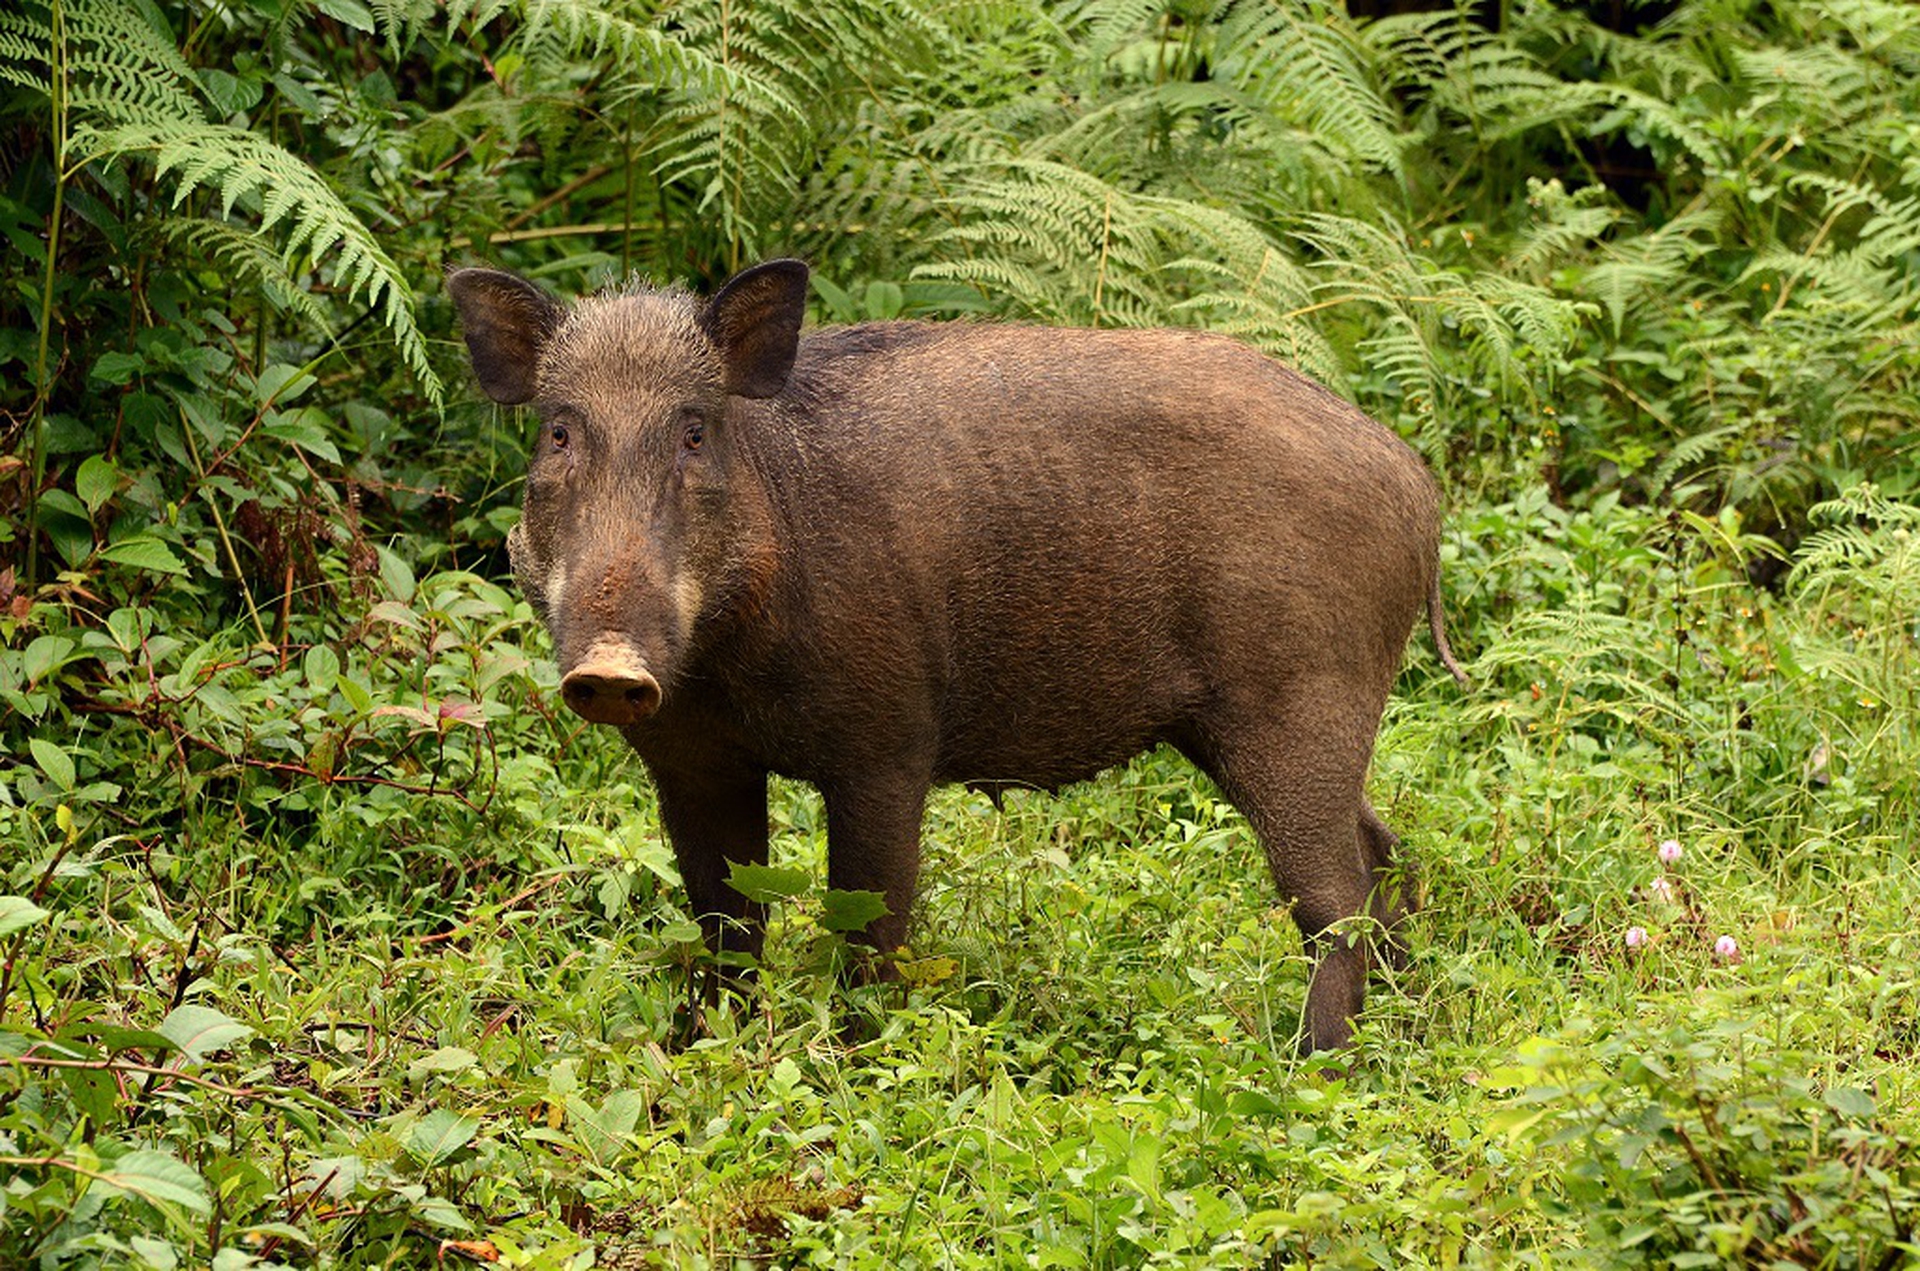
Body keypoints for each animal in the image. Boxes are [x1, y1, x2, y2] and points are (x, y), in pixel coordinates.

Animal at [447, 258, 1466, 1053]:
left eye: (695, 430)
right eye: (558, 431)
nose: (610, 667)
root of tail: (1415, 481)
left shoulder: (888, 746)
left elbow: (869, 921)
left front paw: (857, 1057)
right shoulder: (693, 762)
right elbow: (726, 921)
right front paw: (705, 1046)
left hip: (1295, 700)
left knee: (1332, 893)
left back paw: (1316, 1065)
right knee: (1381, 852)